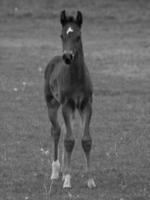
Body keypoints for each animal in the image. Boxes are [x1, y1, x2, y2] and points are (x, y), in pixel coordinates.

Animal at [44, 9, 96, 189]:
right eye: (62, 36)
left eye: (78, 36)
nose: (67, 57)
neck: (77, 78)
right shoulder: (67, 105)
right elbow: (69, 141)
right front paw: (67, 179)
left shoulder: (86, 105)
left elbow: (85, 140)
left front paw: (90, 179)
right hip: (52, 104)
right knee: (56, 131)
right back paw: (55, 172)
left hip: (74, 109)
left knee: (67, 131)